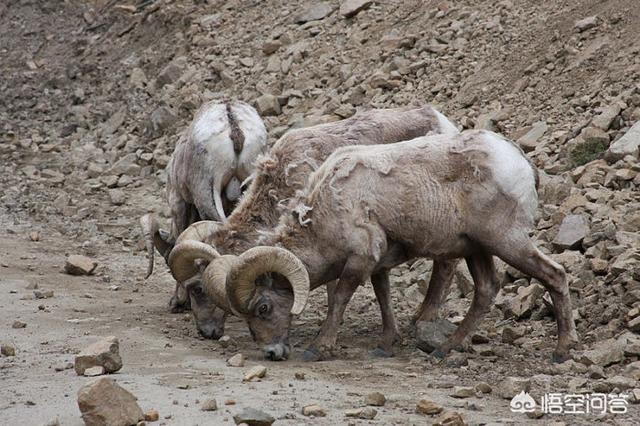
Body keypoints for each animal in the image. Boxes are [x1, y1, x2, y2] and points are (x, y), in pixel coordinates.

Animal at [169, 131, 580, 362]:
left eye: (264, 307)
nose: (272, 354)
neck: (326, 208)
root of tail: (519, 161)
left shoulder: (359, 260)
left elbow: (339, 298)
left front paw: (319, 348)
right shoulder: (379, 262)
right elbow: (383, 297)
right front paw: (386, 345)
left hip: (506, 242)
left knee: (555, 275)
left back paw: (561, 353)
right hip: (476, 249)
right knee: (486, 290)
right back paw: (446, 352)